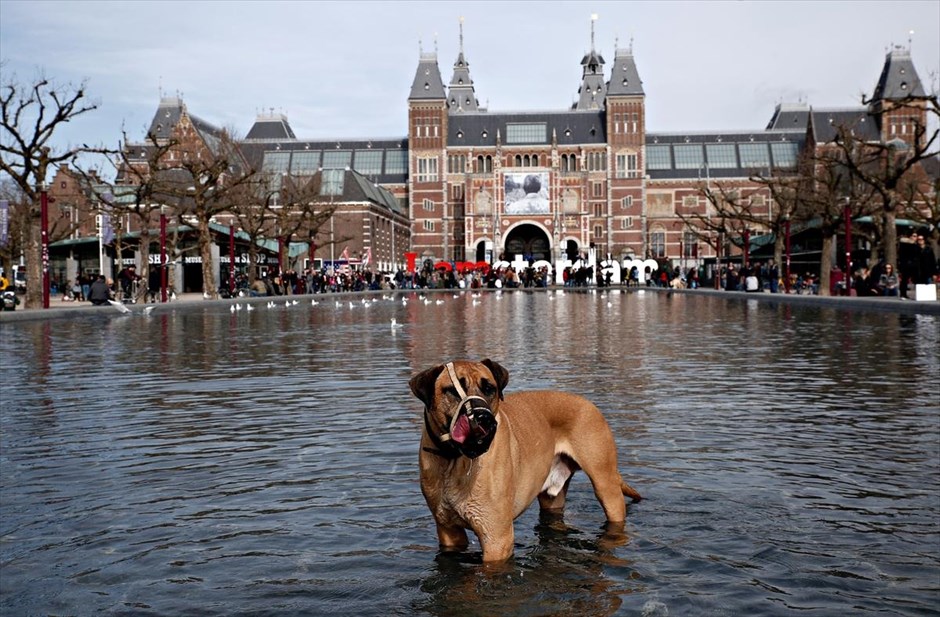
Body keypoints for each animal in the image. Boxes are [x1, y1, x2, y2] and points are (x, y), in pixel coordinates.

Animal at [408, 356, 644, 564]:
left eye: (489, 388)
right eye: (452, 391)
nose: (484, 418)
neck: (453, 460)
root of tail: (588, 403)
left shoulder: (497, 538)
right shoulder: (448, 531)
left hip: (606, 486)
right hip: (552, 498)